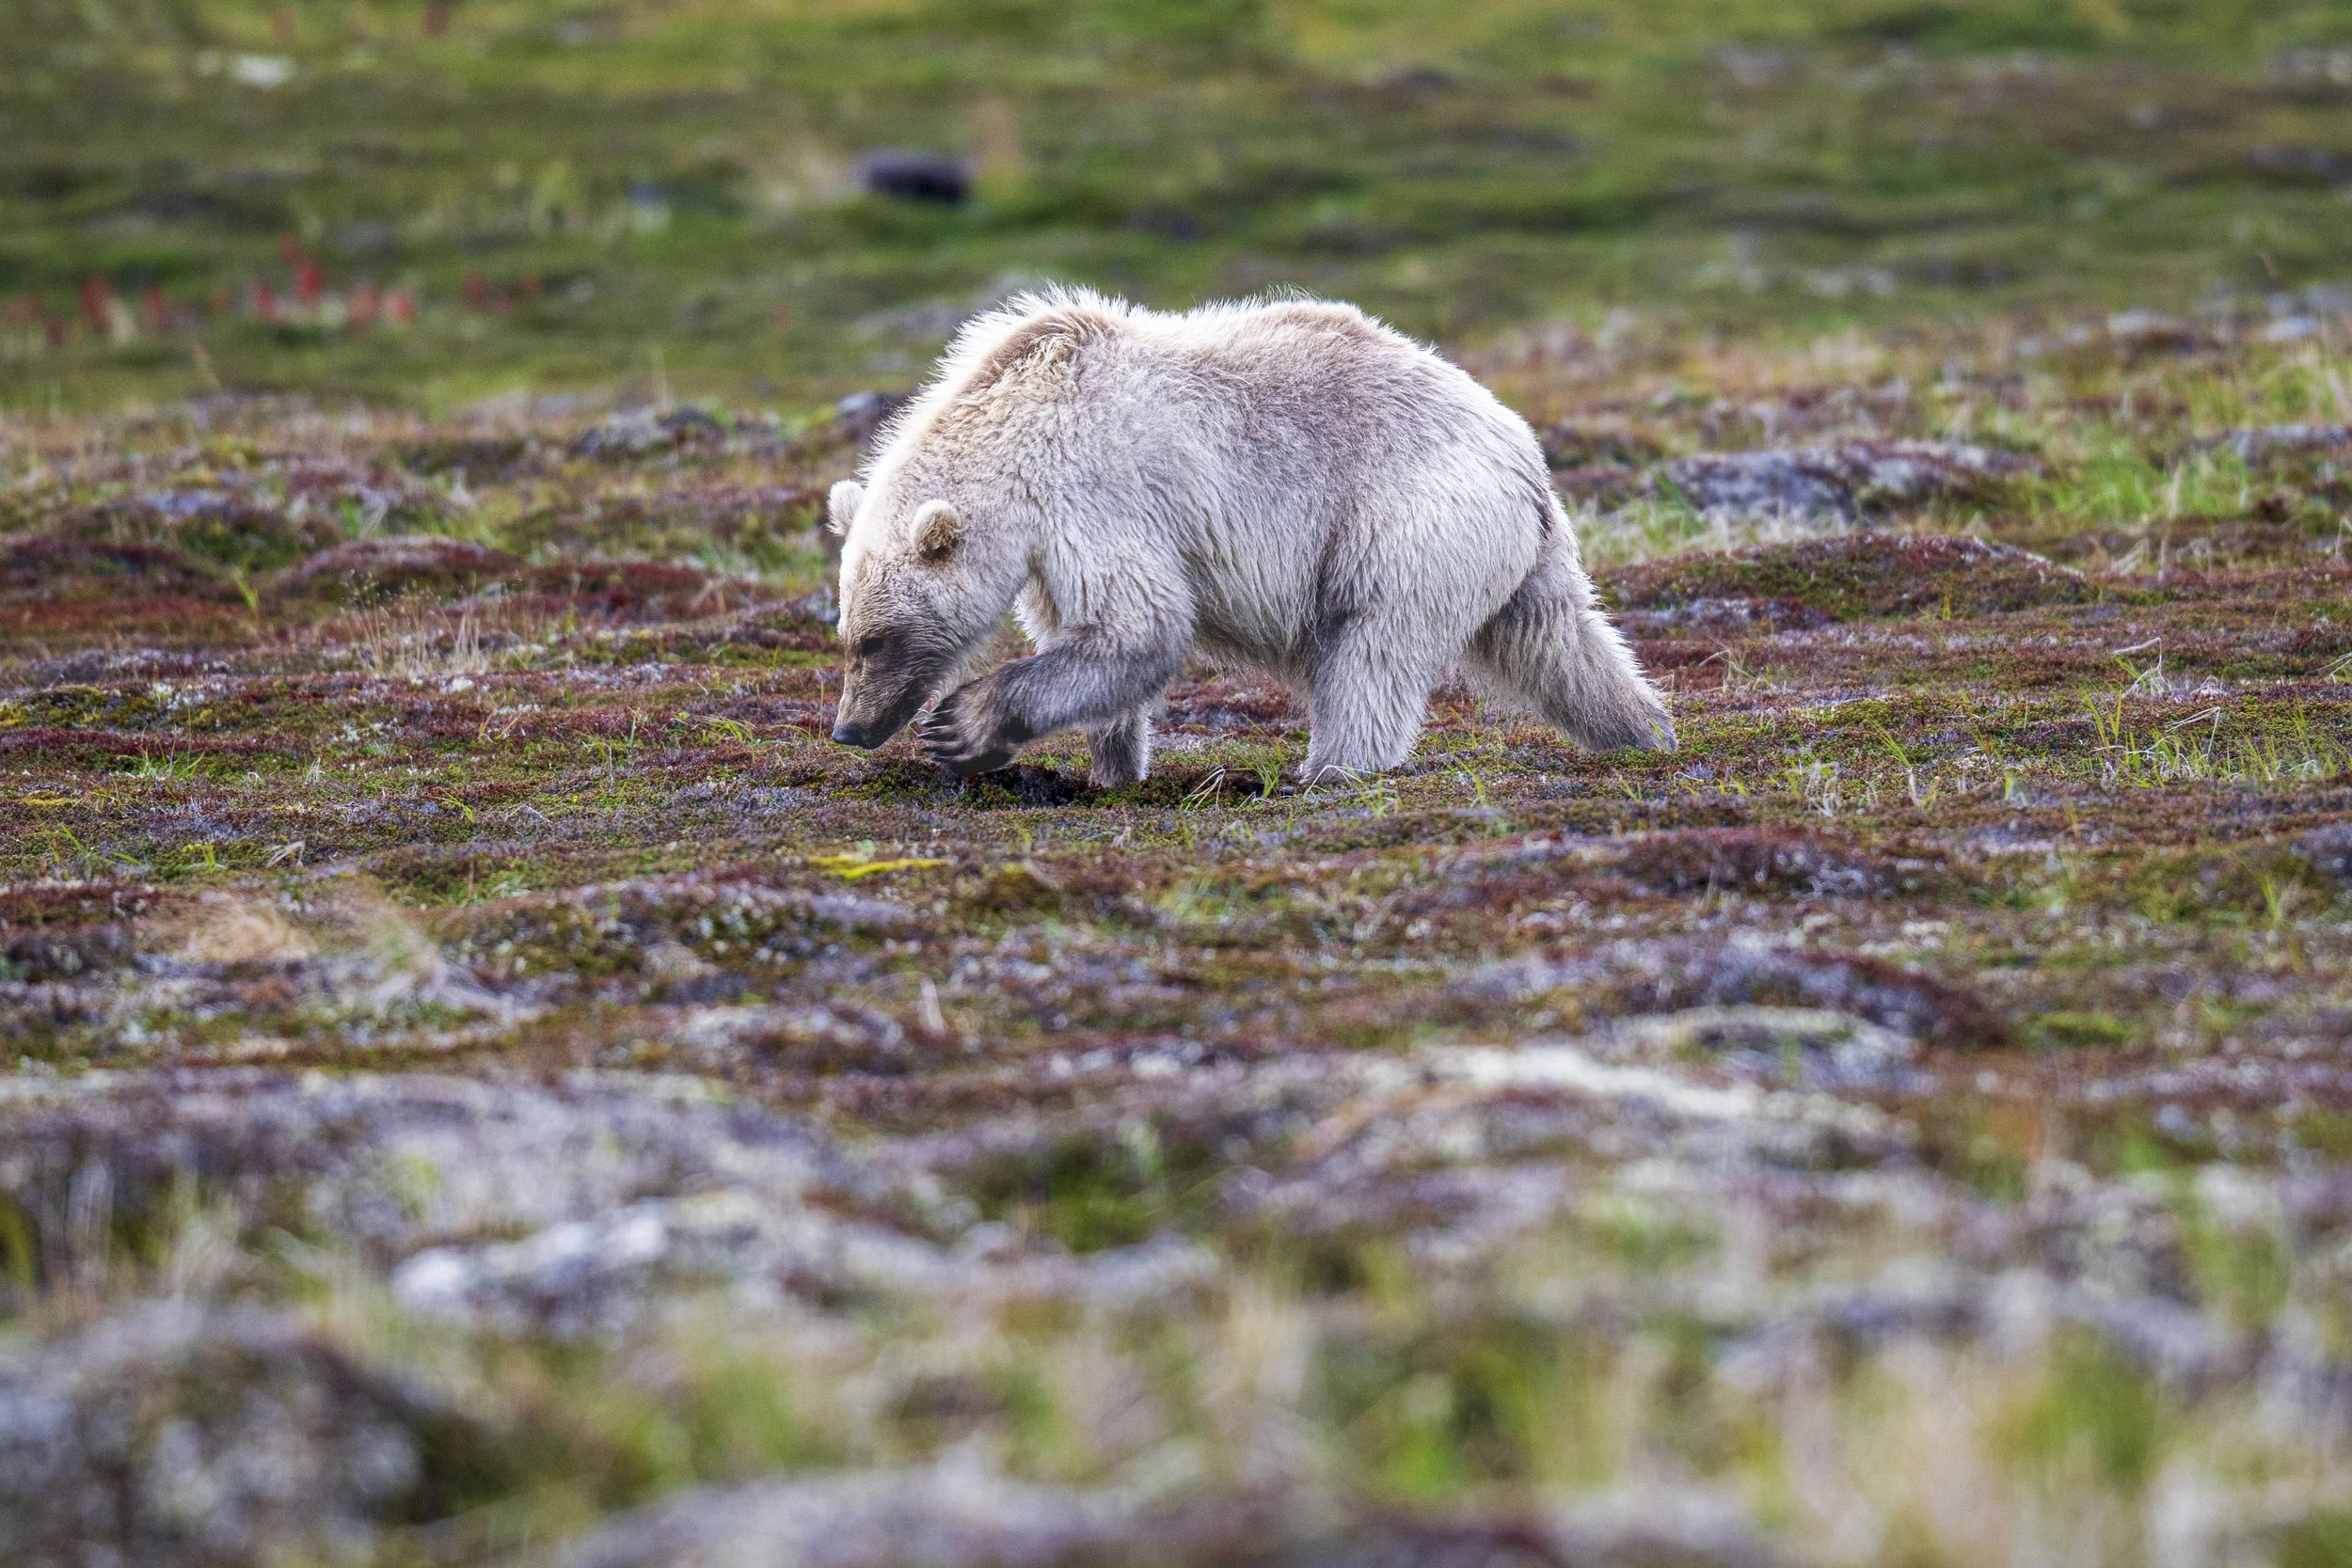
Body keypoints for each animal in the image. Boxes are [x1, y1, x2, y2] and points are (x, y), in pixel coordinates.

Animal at [826, 288, 1673, 786]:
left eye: (876, 639)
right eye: (848, 635)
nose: (847, 727)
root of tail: (1524, 453)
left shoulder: (1093, 495)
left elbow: (1140, 624)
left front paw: (961, 725)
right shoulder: (1047, 550)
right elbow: (1090, 638)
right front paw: (1110, 764)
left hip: (1404, 524)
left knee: (1372, 650)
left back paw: (1331, 767)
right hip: (1511, 553)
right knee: (1561, 641)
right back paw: (1644, 728)